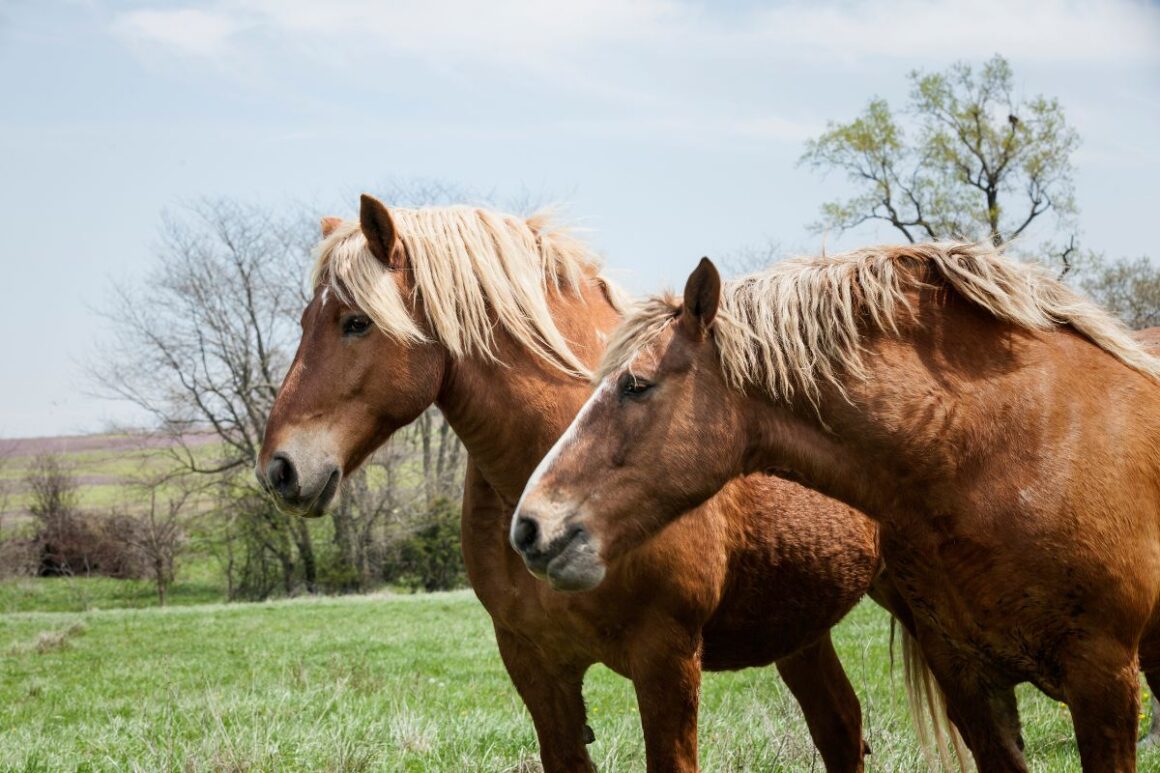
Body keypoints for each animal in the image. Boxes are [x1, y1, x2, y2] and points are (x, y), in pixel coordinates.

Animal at [258, 193, 895, 770]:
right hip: (801, 629)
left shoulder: (666, 658)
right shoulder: (535, 665)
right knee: (840, 726)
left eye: (356, 323)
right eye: (305, 322)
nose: (278, 470)